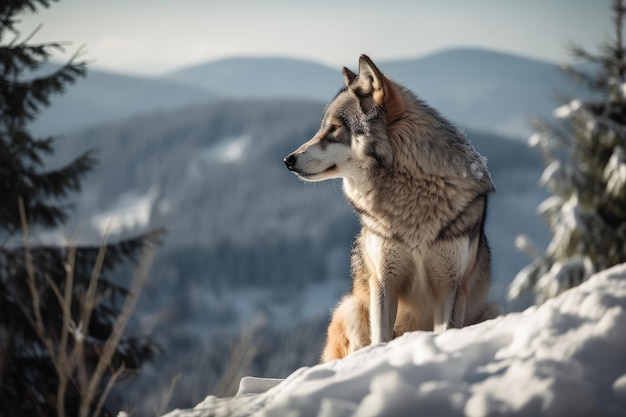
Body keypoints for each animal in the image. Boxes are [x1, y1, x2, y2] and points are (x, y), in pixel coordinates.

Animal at [284, 54, 498, 360]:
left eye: (334, 127)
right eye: (323, 127)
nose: (288, 160)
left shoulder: (451, 285)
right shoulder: (384, 281)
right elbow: (381, 338)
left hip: (491, 310)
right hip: (351, 308)